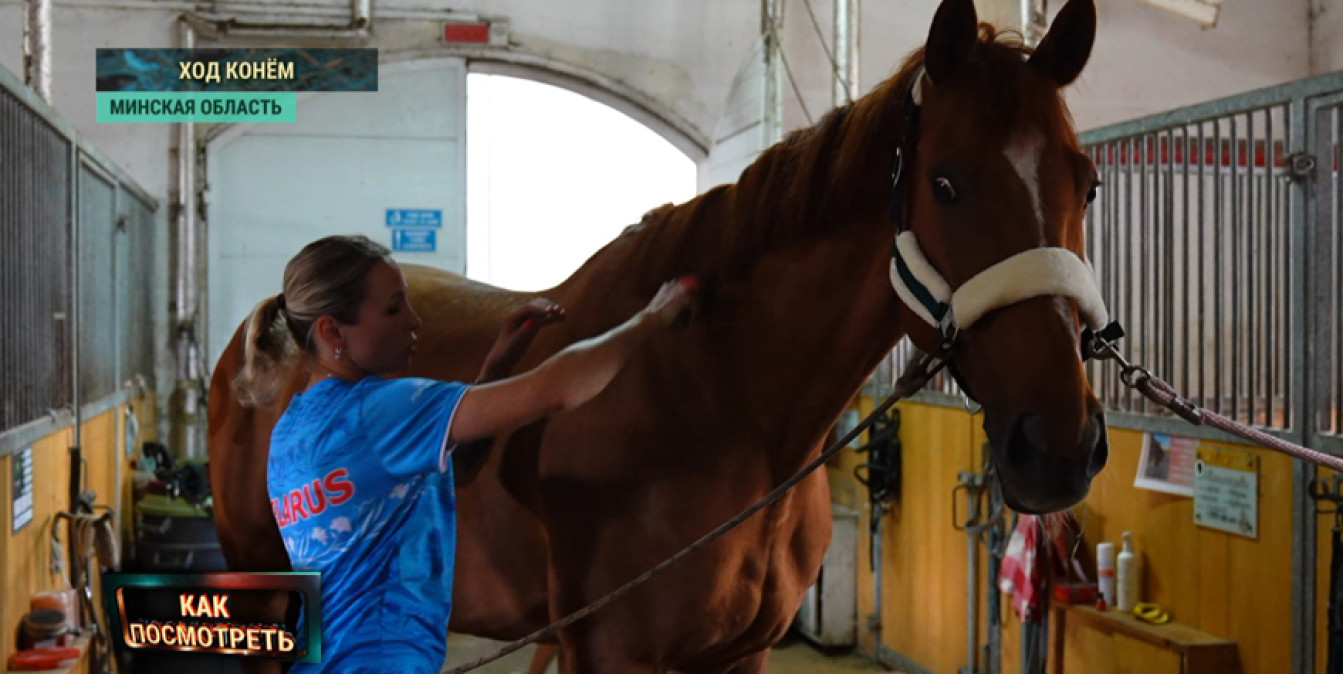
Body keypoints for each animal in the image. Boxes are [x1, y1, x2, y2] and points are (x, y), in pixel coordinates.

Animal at [207, 0, 1105, 671]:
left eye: (1088, 183)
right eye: (945, 183)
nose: (1058, 445)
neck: (722, 406)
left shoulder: (738, 655)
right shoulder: (610, 654)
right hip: (265, 599)